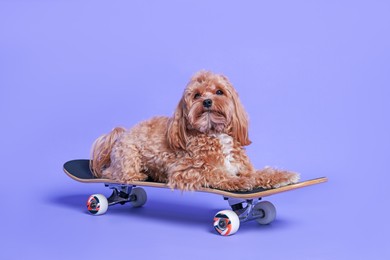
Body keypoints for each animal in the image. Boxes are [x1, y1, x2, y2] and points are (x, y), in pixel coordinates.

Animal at [90, 71, 298, 191]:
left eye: (219, 91)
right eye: (197, 95)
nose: (206, 101)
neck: (214, 132)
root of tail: (121, 134)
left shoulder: (243, 168)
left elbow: (260, 173)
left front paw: (283, 175)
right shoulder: (184, 171)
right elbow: (214, 173)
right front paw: (237, 182)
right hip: (129, 156)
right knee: (113, 174)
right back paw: (137, 176)